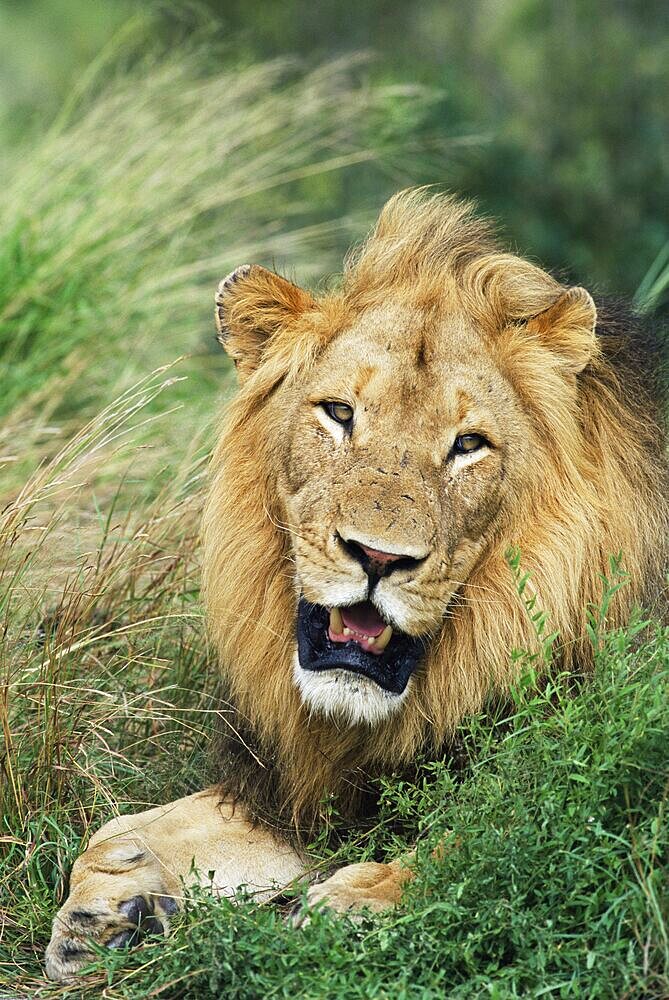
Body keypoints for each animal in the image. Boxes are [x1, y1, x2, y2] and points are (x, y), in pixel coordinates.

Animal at [44, 189, 664, 976]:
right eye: (339, 413)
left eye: (469, 444)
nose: (377, 557)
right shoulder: (308, 790)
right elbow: (119, 827)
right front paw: (108, 903)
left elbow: (494, 835)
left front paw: (360, 903)